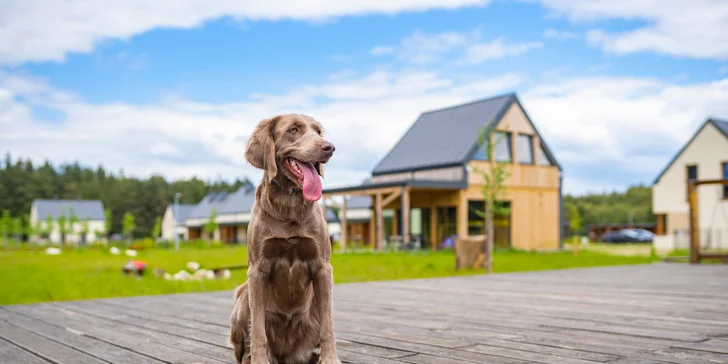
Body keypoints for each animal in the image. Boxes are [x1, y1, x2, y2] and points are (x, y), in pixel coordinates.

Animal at [229, 114, 342, 364]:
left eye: (318, 131)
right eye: (293, 130)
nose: (329, 147)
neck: (289, 206)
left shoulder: (323, 267)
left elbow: (329, 325)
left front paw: (330, 359)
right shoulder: (257, 270)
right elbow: (258, 329)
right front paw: (259, 361)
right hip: (242, 298)